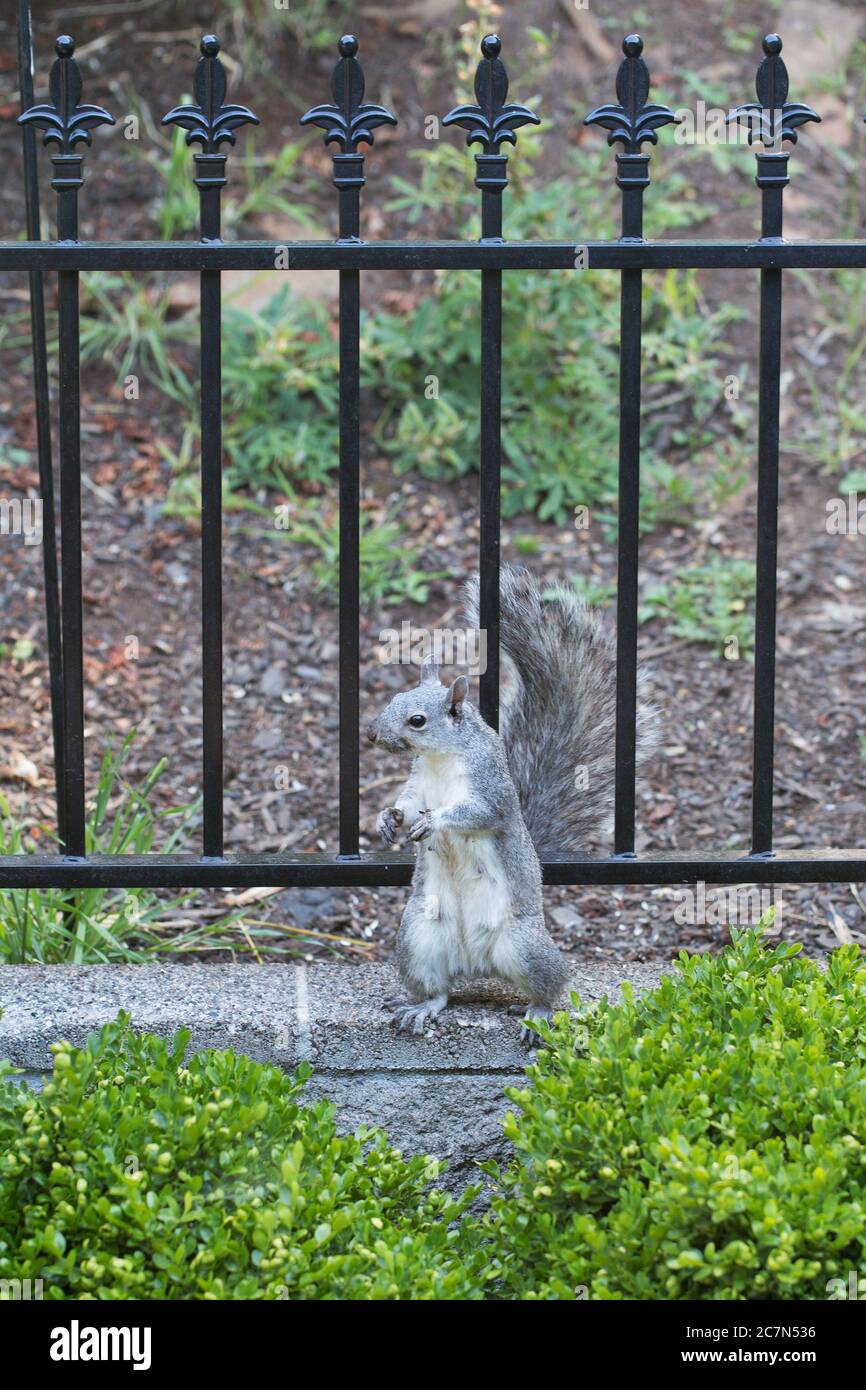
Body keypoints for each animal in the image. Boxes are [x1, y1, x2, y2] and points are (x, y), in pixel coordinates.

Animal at [366, 565, 657, 1044]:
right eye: (392, 700)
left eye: (417, 720)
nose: (372, 734)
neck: (441, 758)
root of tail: (476, 963)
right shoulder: (418, 784)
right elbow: (406, 804)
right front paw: (386, 819)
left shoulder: (492, 789)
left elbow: (478, 814)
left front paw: (436, 822)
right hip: (418, 938)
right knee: (439, 991)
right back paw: (422, 1006)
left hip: (525, 946)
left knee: (550, 986)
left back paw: (539, 1013)